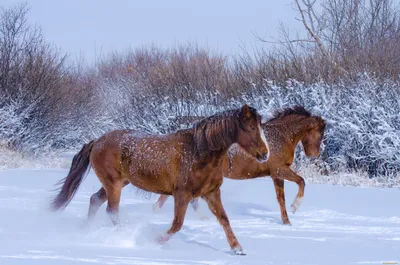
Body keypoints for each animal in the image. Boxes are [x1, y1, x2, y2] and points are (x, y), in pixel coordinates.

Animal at [50, 104, 268, 255]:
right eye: (251, 128)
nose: (265, 154)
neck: (198, 152)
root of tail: (97, 141)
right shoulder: (182, 194)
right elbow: (177, 224)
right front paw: (155, 241)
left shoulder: (211, 193)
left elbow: (224, 219)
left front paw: (238, 248)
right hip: (113, 184)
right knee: (112, 210)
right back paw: (123, 236)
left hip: (118, 183)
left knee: (95, 200)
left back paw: (86, 230)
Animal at [153, 105, 324, 225]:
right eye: (320, 133)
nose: (314, 154)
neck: (281, 136)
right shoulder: (279, 170)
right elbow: (301, 181)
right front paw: (295, 207)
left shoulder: (276, 175)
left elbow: (281, 199)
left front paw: (286, 221)